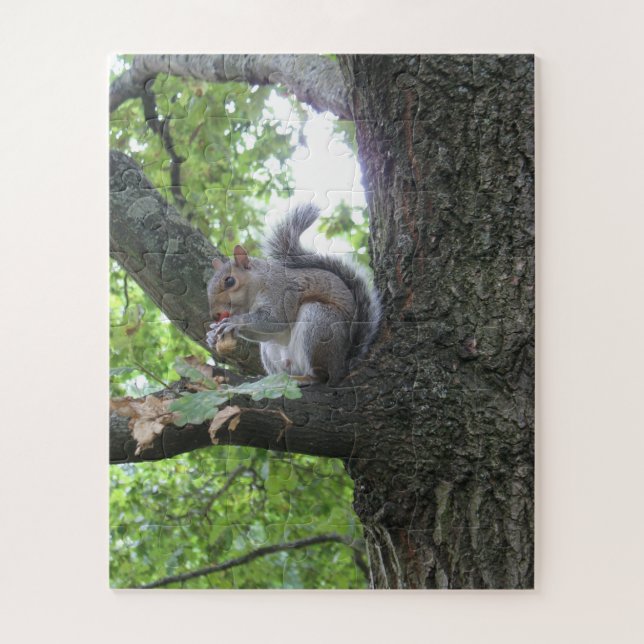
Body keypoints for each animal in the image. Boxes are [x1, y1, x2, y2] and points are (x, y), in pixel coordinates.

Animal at [206, 205, 381, 385]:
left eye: (230, 281)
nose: (215, 315)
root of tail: (341, 366)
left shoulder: (281, 294)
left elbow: (276, 320)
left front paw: (235, 321)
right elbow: (263, 333)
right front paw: (211, 337)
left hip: (319, 322)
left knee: (321, 377)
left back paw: (306, 379)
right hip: (273, 353)